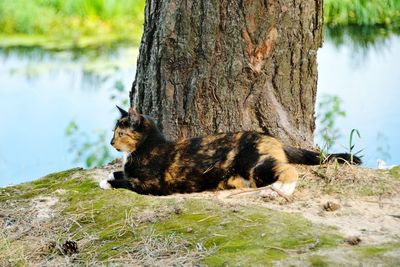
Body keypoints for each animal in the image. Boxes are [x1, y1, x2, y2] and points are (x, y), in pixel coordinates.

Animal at [98, 107, 360, 197]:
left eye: (120, 133)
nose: (110, 142)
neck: (147, 146)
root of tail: (270, 137)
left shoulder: (151, 185)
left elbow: (125, 182)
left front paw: (108, 183)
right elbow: (119, 173)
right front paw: (107, 177)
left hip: (257, 165)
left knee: (289, 170)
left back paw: (283, 188)